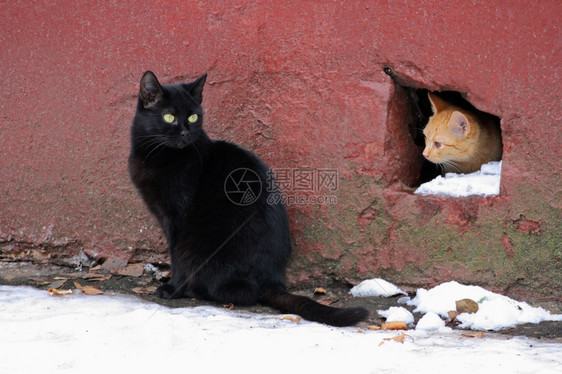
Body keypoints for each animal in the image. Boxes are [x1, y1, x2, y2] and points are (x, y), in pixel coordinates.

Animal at [127, 71, 368, 328]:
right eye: (169, 117)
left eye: (193, 116)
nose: (185, 132)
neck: (156, 155)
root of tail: (272, 280)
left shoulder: (177, 219)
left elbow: (176, 257)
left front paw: (172, 289)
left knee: (240, 292)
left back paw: (195, 290)